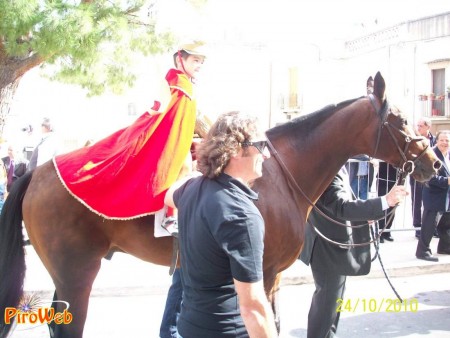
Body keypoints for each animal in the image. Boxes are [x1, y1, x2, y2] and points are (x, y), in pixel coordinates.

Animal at [0, 72, 440, 338]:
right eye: (401, 120)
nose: (434, 163)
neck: (278, 174)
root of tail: (35, 173)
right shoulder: (262, 272)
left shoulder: (270, 276)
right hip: (77, 273)